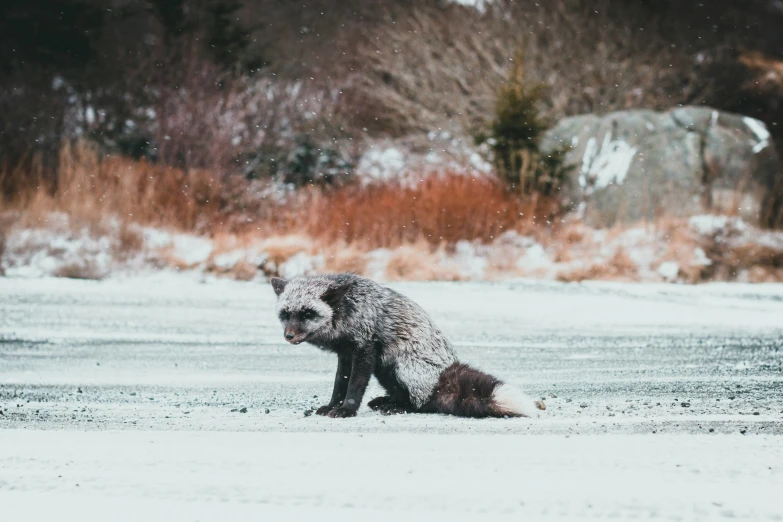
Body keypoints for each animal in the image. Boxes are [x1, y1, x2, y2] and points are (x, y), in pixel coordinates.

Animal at [272, 272, 544, 418]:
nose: (289, 336)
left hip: (398, 367)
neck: (348, 311)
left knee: (421, 404)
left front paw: (346, 410)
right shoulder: (346, 354)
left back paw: (397, 407)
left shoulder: (364, 351)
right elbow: (340, 385)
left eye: (308, 314)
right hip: (383, 370)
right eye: (285, 314)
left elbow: (354, 387)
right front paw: (332, 406)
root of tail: (444, 374)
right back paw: (385, 402)